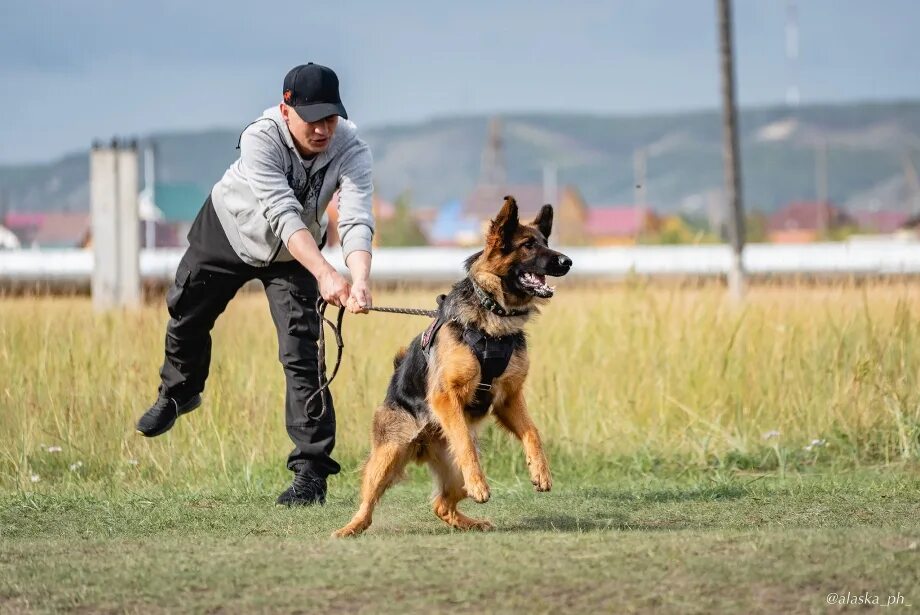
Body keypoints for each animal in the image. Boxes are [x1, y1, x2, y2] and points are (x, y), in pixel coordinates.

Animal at [334, 197, 572, 540]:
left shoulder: (509, 399)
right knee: (368, 502)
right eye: (528, 245)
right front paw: (480, 484)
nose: (568, 262)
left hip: (449, 477)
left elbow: (532, 432)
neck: (492, 315)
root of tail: (421, 445)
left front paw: (540, 470)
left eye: (545, 242)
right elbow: (463, 439)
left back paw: (472, 523)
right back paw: (350, 527)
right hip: (387, 456)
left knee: (441, 505)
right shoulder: (446, 397)